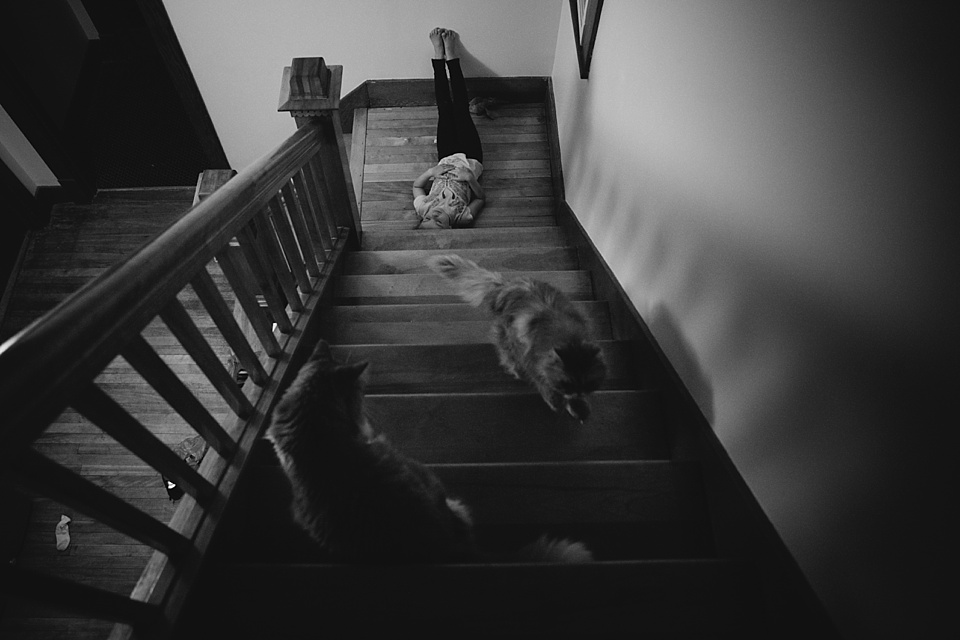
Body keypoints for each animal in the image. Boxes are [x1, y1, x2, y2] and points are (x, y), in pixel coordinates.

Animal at [430, 252, 608, 422]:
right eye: (567, 385)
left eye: (586, 385)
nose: (575, 396)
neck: (569, 337)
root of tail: (504, 287)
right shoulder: (531, 357)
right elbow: (541, 381)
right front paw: (555, 400)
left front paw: (580, 406)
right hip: (507, 333)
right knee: (506, 353)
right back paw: (515, 370)